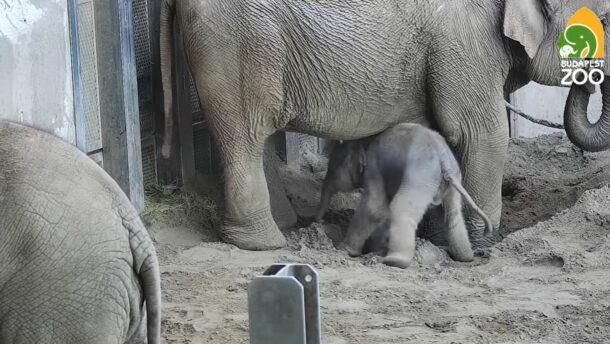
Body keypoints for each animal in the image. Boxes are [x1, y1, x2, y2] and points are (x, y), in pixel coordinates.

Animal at [160, 0, 608, 250]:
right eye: (601, 20)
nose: (588, 79)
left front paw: (435, 237)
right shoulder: (464, 42)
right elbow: (480, 132)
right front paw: (479, 246)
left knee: (259, 134)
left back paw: (283, 228)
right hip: (237, 42)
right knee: (247, 134)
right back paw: (263, 245)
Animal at [316, 123, 492, 268]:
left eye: (333, 170)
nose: (317, 221)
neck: (365, 141)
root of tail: (444, 161)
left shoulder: (374, 167)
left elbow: (375, 208)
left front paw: (344, 250)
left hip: (420, 177)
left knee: (400, 208)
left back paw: (393, 261)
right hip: (453, 179)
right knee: (453, 213)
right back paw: (465, 257)